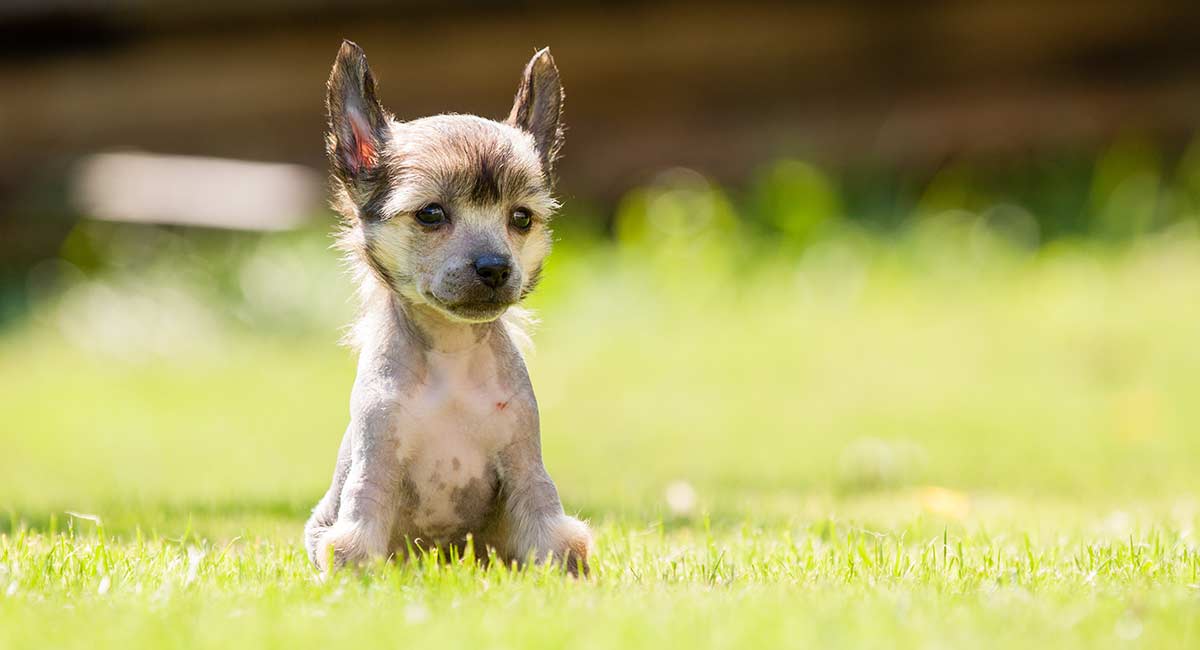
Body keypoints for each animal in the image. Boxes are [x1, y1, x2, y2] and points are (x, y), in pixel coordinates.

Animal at [302, 40, 592, 575]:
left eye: (521, 218)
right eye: (431, 213)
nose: (495, 267)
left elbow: (551, 530)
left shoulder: (524, 465)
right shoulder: (376, 464)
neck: (451, 358)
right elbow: (357, 538)